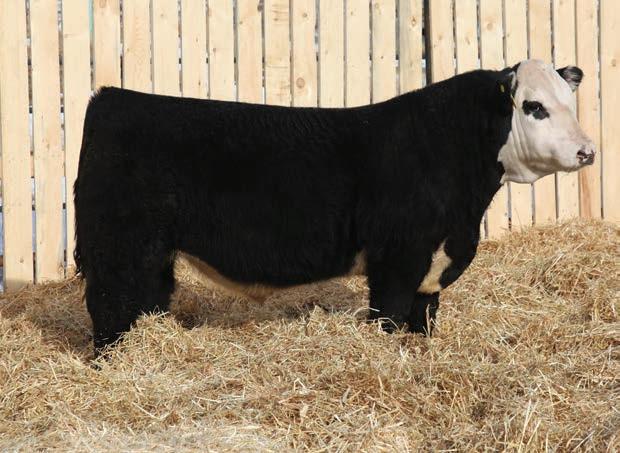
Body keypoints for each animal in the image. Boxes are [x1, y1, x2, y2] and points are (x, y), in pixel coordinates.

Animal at [74, 59, 595, 354]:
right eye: (533, 106)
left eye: (570, 101)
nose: (587, 150)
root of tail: (111, 98)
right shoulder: (396, 261)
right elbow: (389, 318)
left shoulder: (431, 265)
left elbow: (422, 321)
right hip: (116, 248)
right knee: (109, 308)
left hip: (152, 255)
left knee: (145, 301)